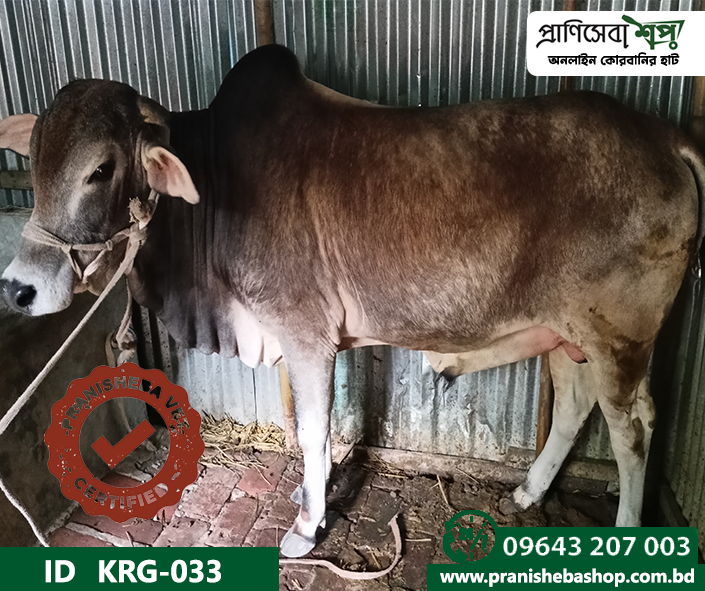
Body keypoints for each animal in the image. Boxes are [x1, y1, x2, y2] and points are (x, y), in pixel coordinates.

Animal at [0, 45, 703, 557]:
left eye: (100, 169)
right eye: (30, 161)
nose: (18, 288)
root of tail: (664, 137)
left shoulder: (305, 332)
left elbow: (315, 433)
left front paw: (305, 528)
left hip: (617, 337)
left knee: (632, 431)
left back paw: (627, 531)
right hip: (569, 334)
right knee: (578, 407)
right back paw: (530, 492)